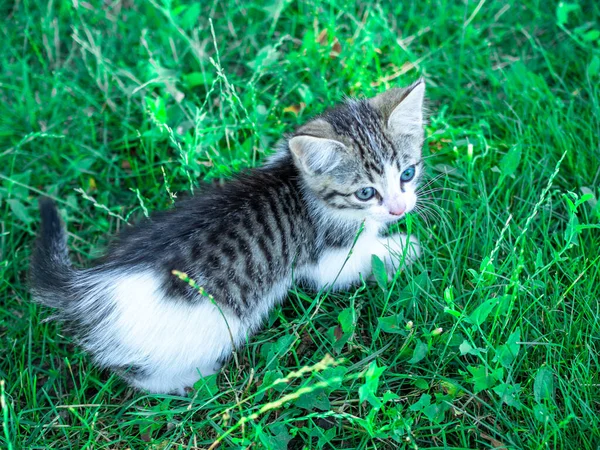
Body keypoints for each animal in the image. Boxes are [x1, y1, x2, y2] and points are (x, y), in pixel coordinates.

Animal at [30, 80, 426, 394]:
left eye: (407, 173)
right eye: (365, 192)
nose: (398, 209)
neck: (297, 181)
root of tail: (93, 284)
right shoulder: (324, 257)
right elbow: (355, 262)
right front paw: (403, 246)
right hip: (210, 330)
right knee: (136, 374)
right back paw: (189, 381)